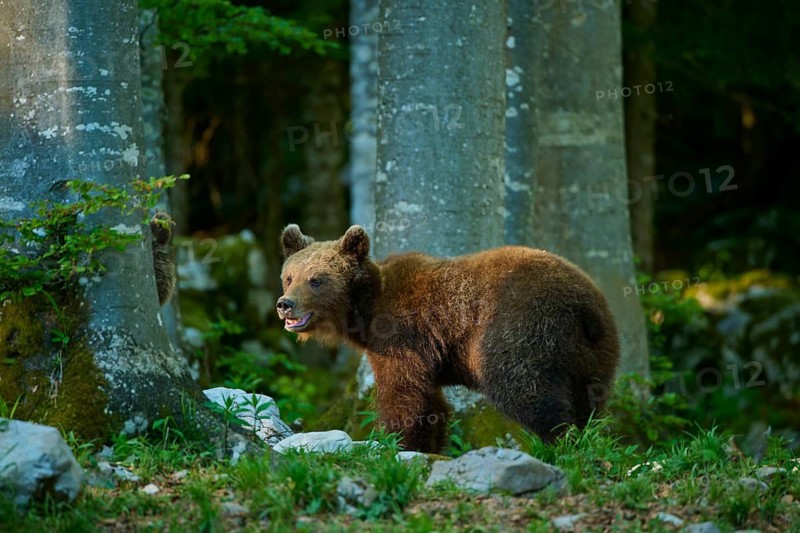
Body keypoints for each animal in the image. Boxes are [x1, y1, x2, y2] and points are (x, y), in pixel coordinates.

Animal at [277, 224, 620, 453]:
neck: (366, 309)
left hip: (520, 326)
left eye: (316, 279)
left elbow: (403, 395)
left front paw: (395, 441)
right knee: (590, 398)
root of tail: (583, 303)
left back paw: (559, 441)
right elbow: (431, 403)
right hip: (592, 350)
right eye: (289, 277)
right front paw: (431, 442)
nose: (285, 304)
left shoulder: (401, 337)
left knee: (525, 387)